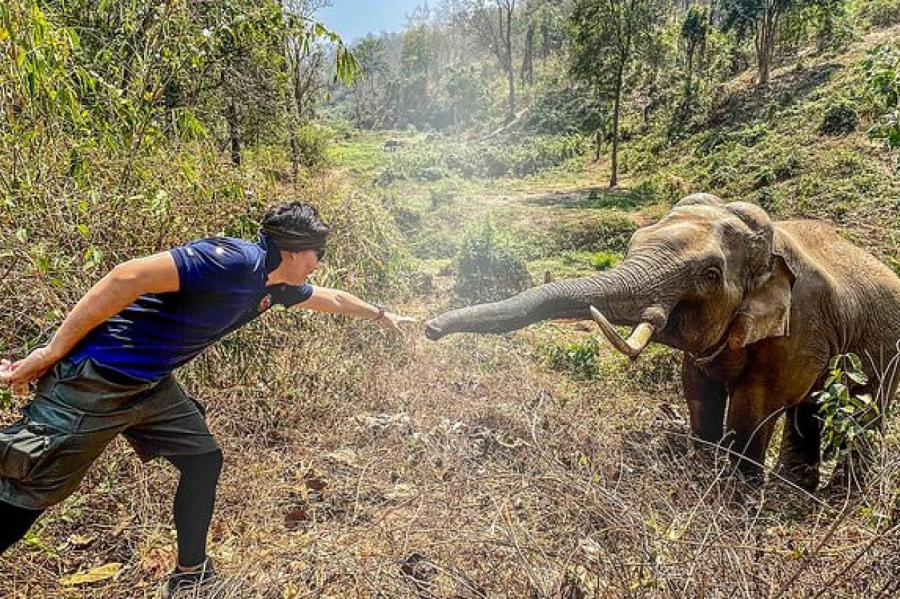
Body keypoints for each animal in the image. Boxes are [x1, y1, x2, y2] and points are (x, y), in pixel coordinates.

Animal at [426, 195, 900, 490]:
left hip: (885, 347)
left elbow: (756, 407)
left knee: (864, 412)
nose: (430, 329)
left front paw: (737, 500)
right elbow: (698, 393)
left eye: (709, 274)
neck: (770, 248)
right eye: (634, 243)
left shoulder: (798, 327)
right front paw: (702, 476)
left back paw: (836, 495)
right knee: (812, 410)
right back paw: (799, 491)